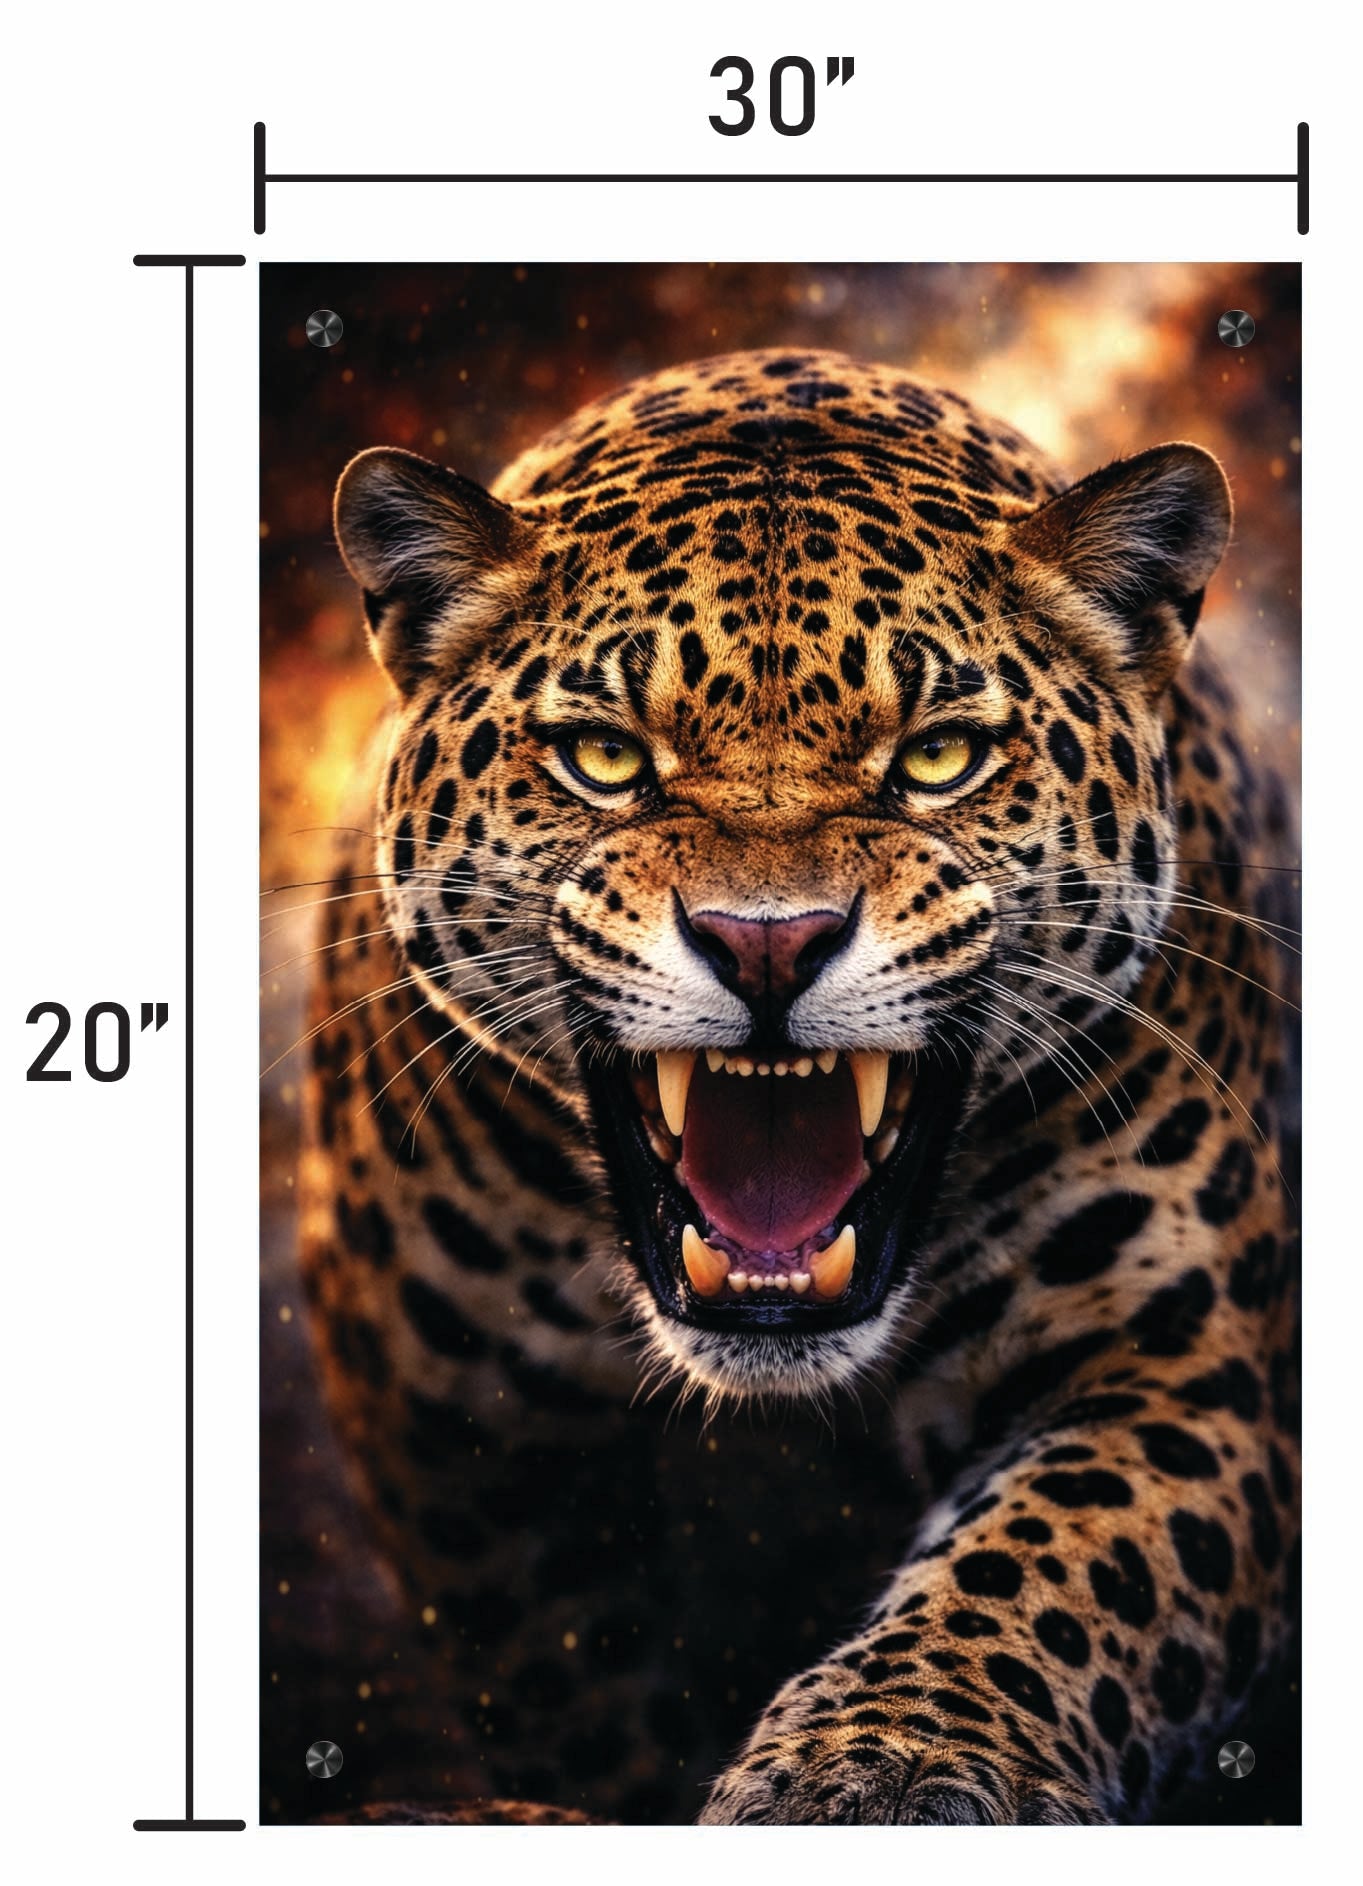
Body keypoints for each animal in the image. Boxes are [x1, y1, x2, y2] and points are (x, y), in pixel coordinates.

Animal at [297, 347, 1299, 1825]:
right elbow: (574, 1686)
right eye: (604, 756)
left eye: (938, 755)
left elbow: (1039, 1573)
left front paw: (884, 1767)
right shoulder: (461, 1434)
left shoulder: (1180, 1367)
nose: (765, 940)